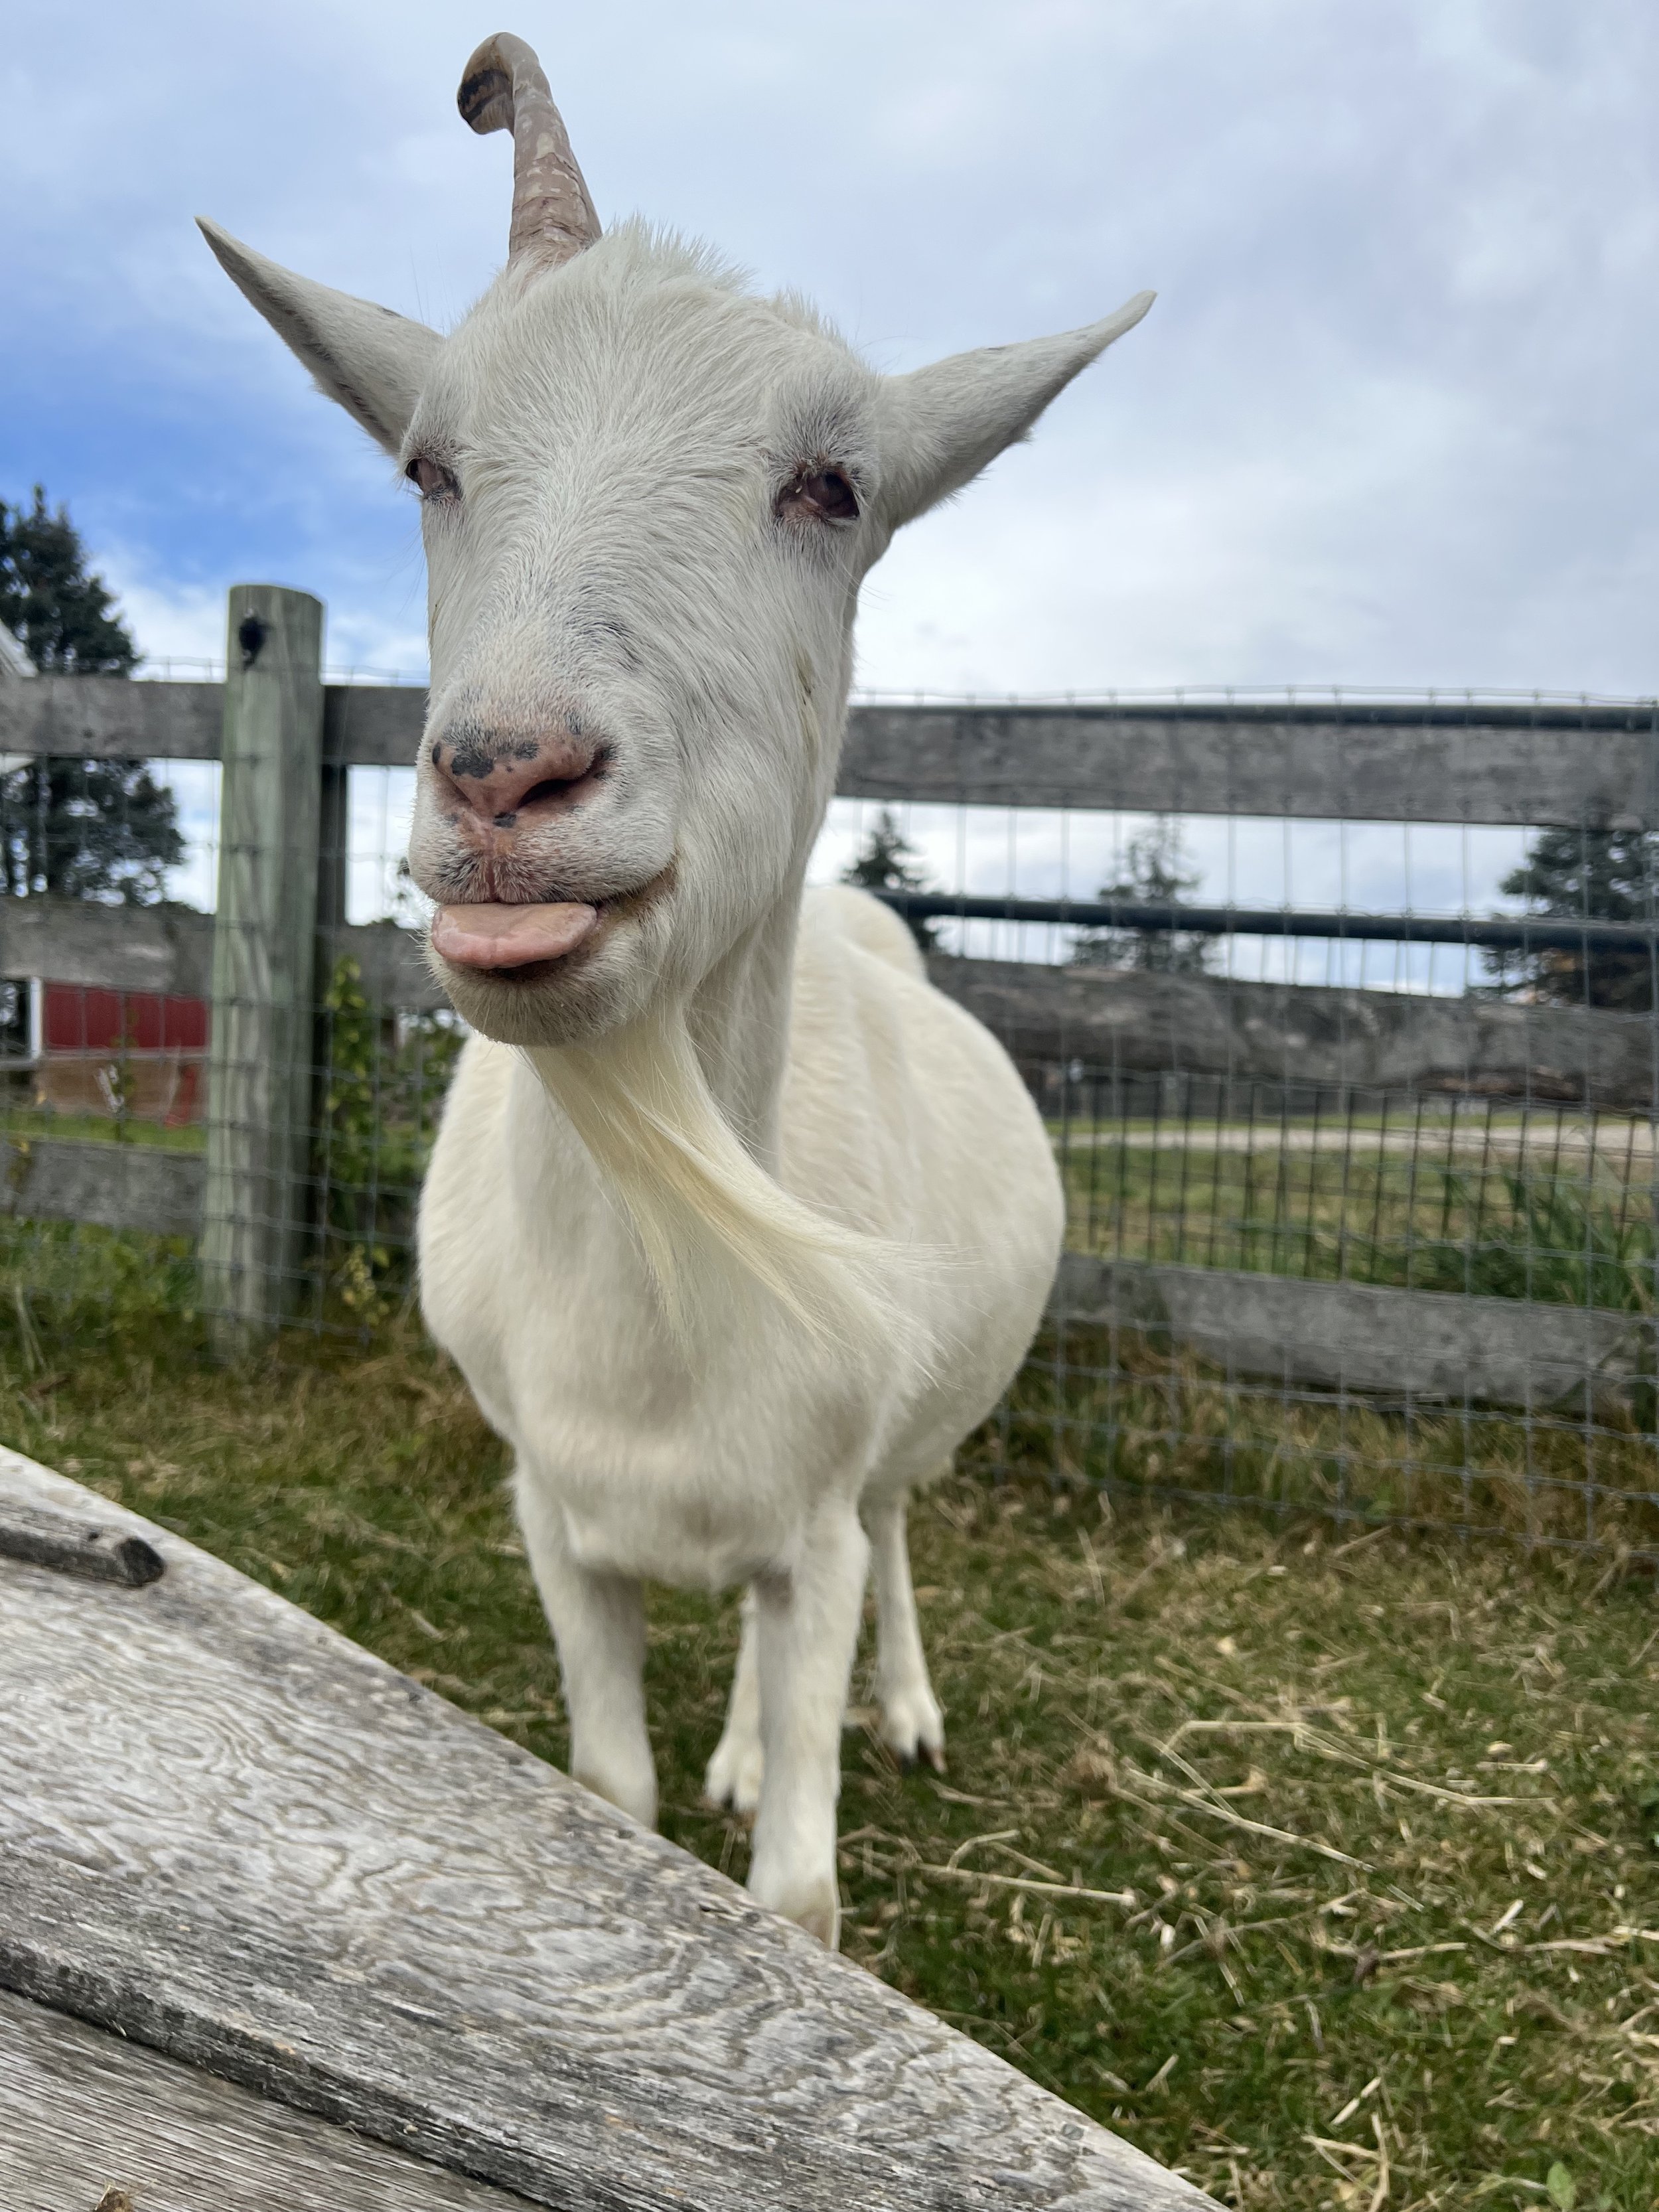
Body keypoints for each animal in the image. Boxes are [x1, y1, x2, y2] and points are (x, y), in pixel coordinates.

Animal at [202, 32, 1151, 1946]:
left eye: (835, 487)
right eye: (427, 464)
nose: (506, 775)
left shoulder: (818, 1515)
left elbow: (796, 1896)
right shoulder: (555, 1514)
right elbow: (613, 1802)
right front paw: (687, 1787)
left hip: (899, 1453)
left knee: (904, 1539)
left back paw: (903, 1704)